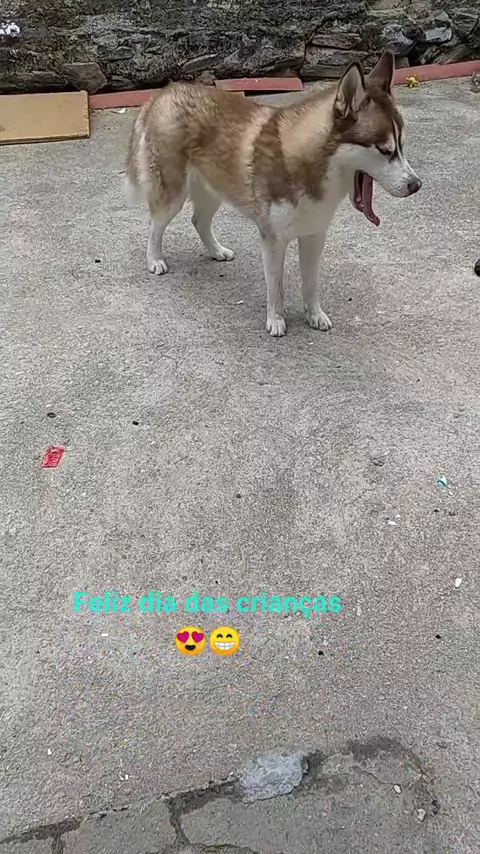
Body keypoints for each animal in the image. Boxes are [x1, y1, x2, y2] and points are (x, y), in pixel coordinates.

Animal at [126, 51, 421, 337]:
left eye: (402, 146)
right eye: (384, 150)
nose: (416, 185)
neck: (310, 163)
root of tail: (163, 93)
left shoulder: (314, 236)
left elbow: (310, 283)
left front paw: (314, 315)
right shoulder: (273, 240)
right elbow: (276, 286)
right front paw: (276, 320)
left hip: (213, 191)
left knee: (198, 221)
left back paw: (216, 250)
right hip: (172, 195)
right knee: (155, 224)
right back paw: (155, 259)